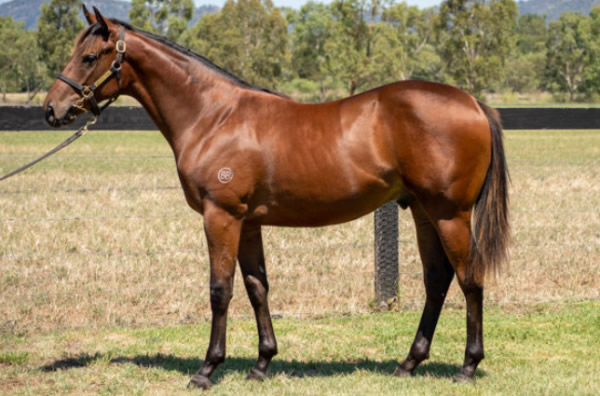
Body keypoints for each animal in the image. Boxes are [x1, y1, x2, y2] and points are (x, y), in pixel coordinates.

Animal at [43, 5, 510, 390]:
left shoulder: (221, 216)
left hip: (450, 214)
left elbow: (220, 290)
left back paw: (467, 367)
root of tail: (473, 102)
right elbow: (257, 288)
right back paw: (409, 363)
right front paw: (262, 363)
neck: (214, 117)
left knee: (469, 279)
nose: (52, 109)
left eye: (89, 57)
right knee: (437, 280)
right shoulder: (248, 222)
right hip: (424, 213)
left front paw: (206, 369)